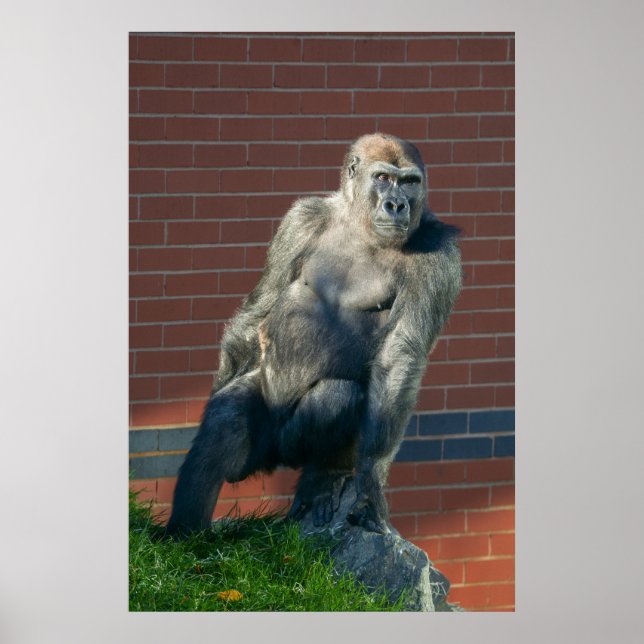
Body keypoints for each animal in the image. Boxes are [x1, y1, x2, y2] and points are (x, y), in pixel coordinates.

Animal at [166, 133, 461, 536]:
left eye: (411, 182)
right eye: (383, 178)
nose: (397, 205)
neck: (357, 224)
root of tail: (274, 462)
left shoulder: (440, 256)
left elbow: (400, 356)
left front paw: (371, 479)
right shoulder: (300, 220)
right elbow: (261, 307)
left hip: (293, 447)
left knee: (335, 398)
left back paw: (321, 477)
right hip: (263, 443)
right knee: (226, 420)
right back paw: (185, 536)